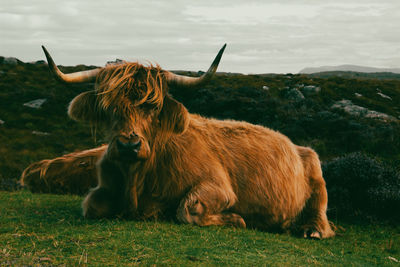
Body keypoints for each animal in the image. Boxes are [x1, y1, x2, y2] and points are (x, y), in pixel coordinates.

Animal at [21, 45, 334, 240]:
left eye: (153, 106)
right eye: (108, 106)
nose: (128, 146)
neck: (139, 179)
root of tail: (298, 146)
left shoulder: (218, 187)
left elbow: (187, 209)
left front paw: (238, 219)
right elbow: (92, 205)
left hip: (317, 177)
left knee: (320, 211)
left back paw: (311, 229)